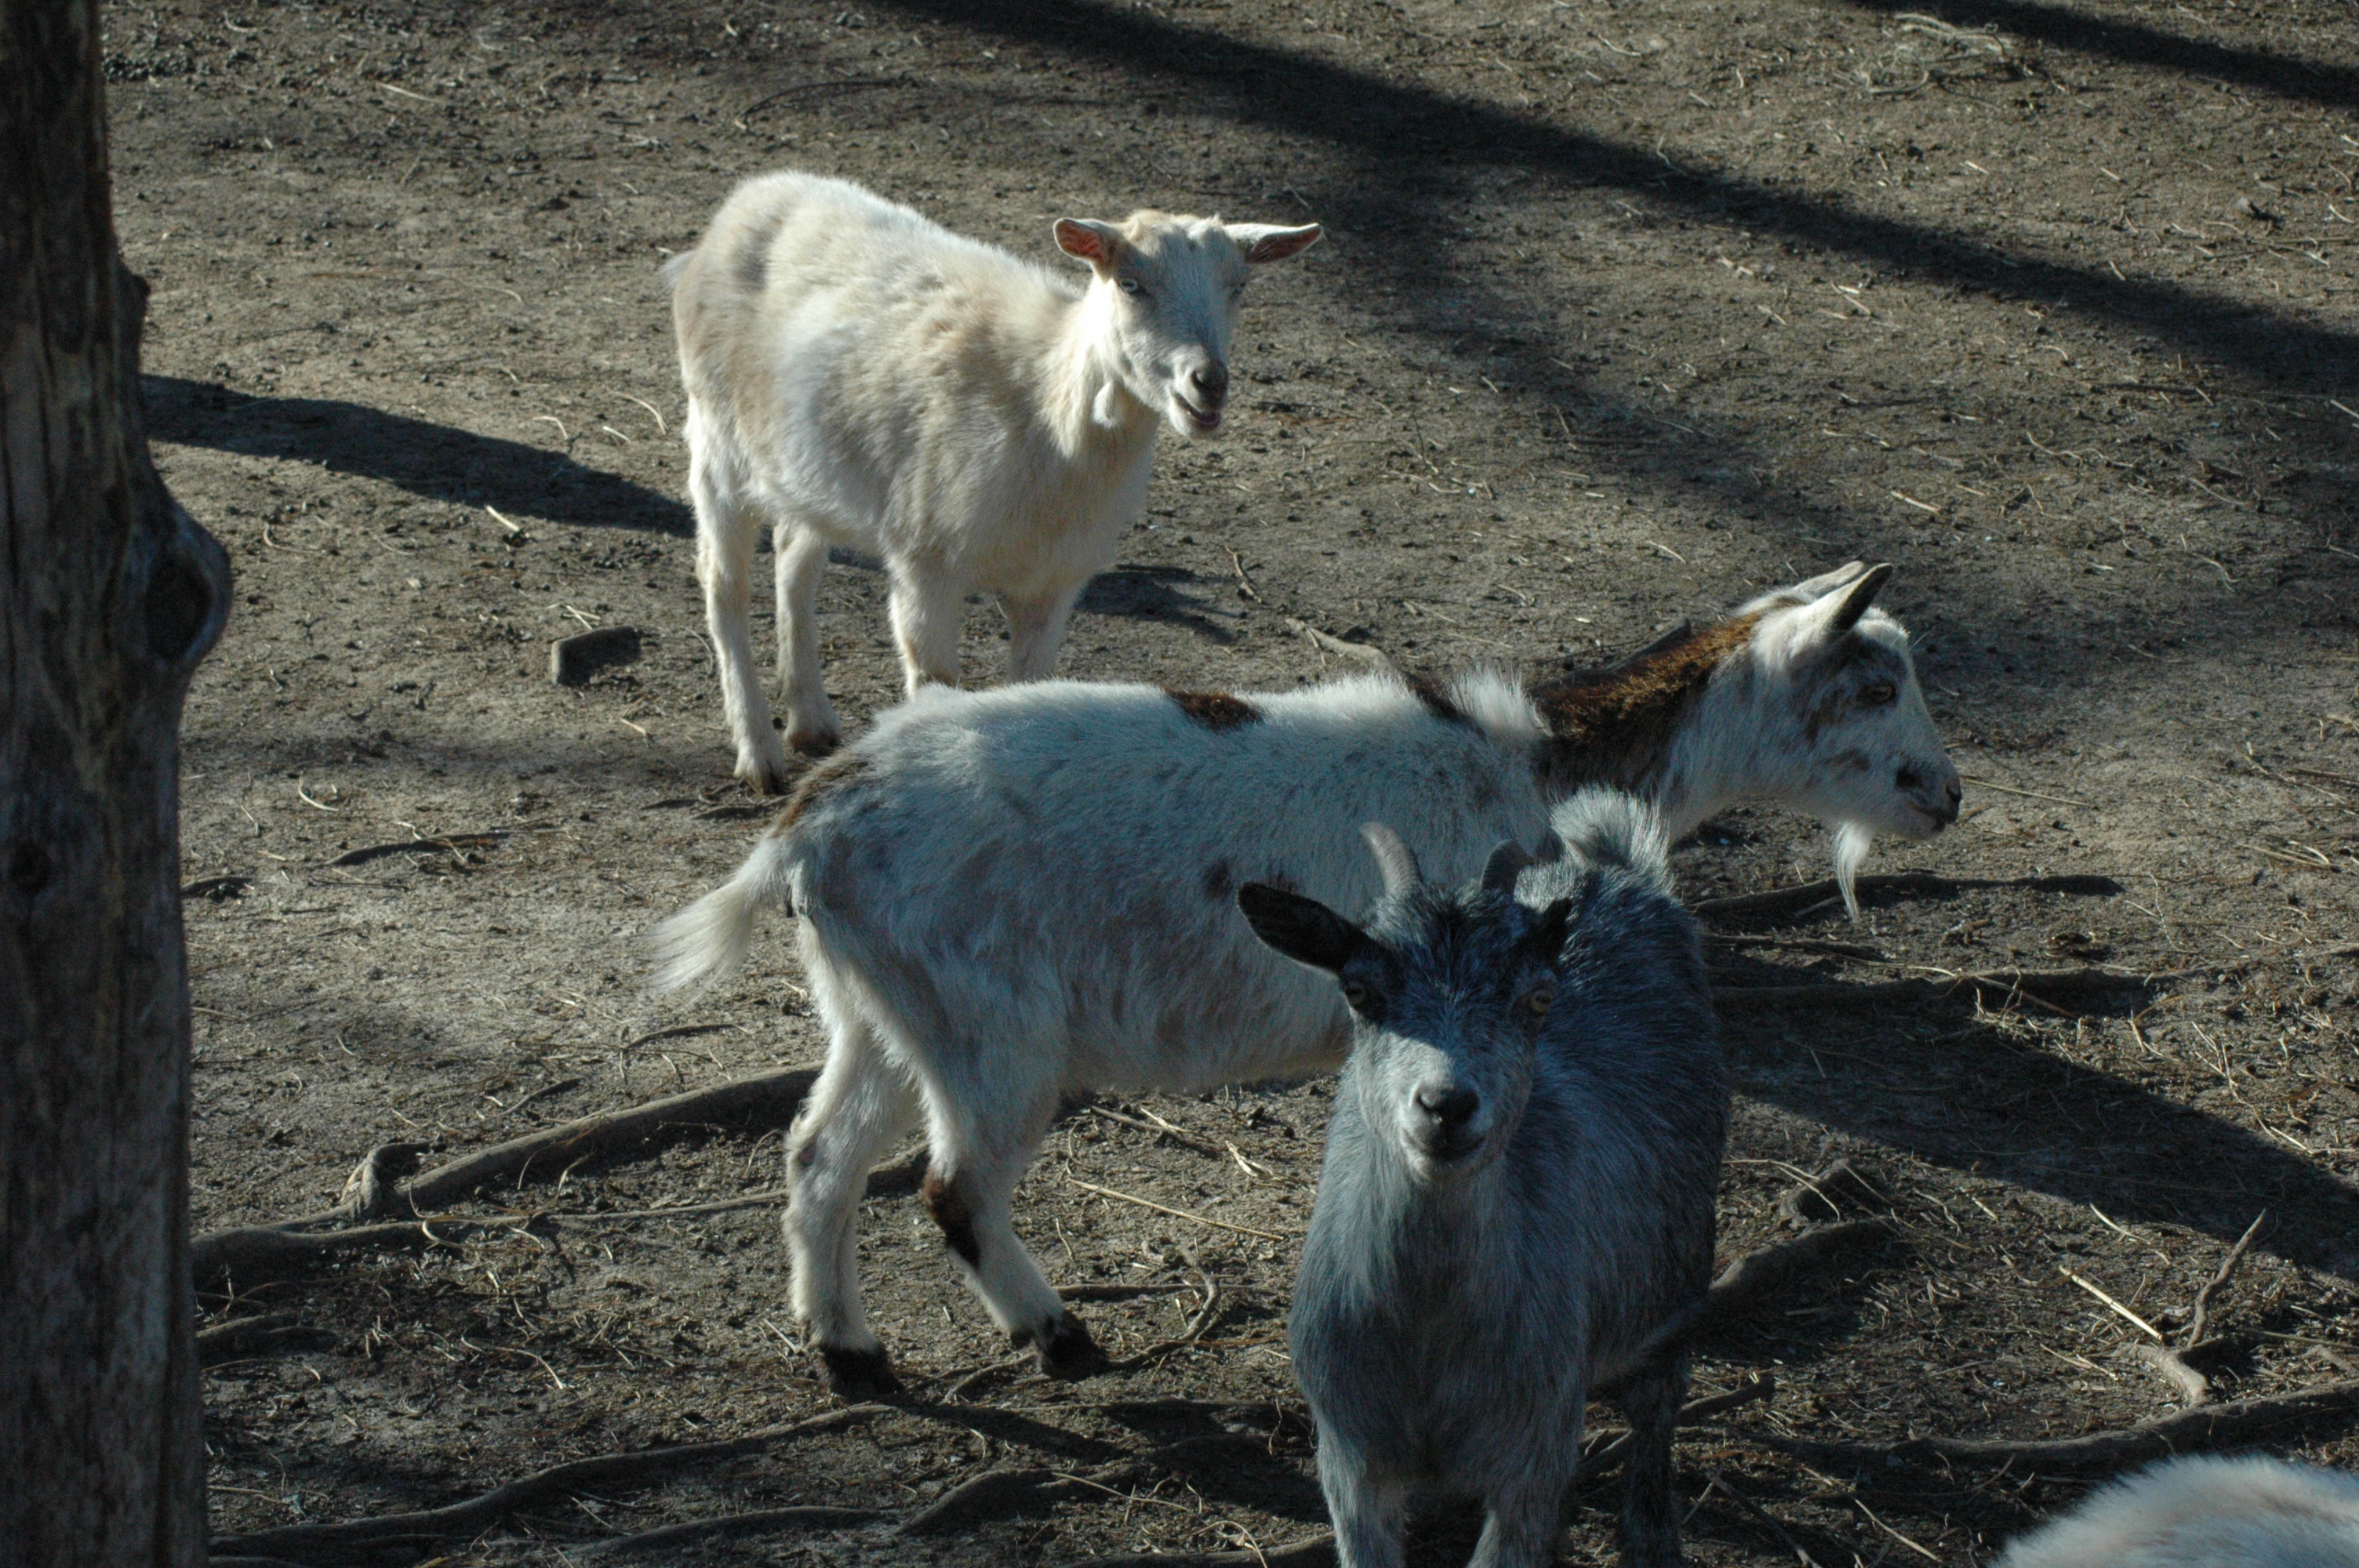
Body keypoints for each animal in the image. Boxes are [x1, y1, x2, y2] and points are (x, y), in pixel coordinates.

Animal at [646, 562, 1956, 1394]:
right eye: (1875, 686)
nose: (1945, 795)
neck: (1538, 761)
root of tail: (814, 820)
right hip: (991, 1030)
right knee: (953, 1186)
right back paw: (1061, 1339)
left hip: (880, 1004)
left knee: (819, 1154)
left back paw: (851, 1354)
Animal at [664, 170, 1321, 790]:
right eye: (1130, 284)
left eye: (1237, 286)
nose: (1208, 383)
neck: (1049, 404)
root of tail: (749, 198)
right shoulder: (925, 562)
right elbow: (935, 682)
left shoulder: (1055, 583)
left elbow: (1031, 688)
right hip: (718, 440)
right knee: (722, 584)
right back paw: (759, 753)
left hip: (809, 470)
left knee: (795, 562)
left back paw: (811, 721)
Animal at [1238, 795, 1725, 1568]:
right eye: (1359, 991)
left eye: (1538, 997)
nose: (1446, 1105)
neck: (1429, 1338)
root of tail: (1615, 871)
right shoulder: (1350, 1462)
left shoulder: (1534, 1452)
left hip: (1677, 1275)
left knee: (1660, 1401)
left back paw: (1652, 1534)